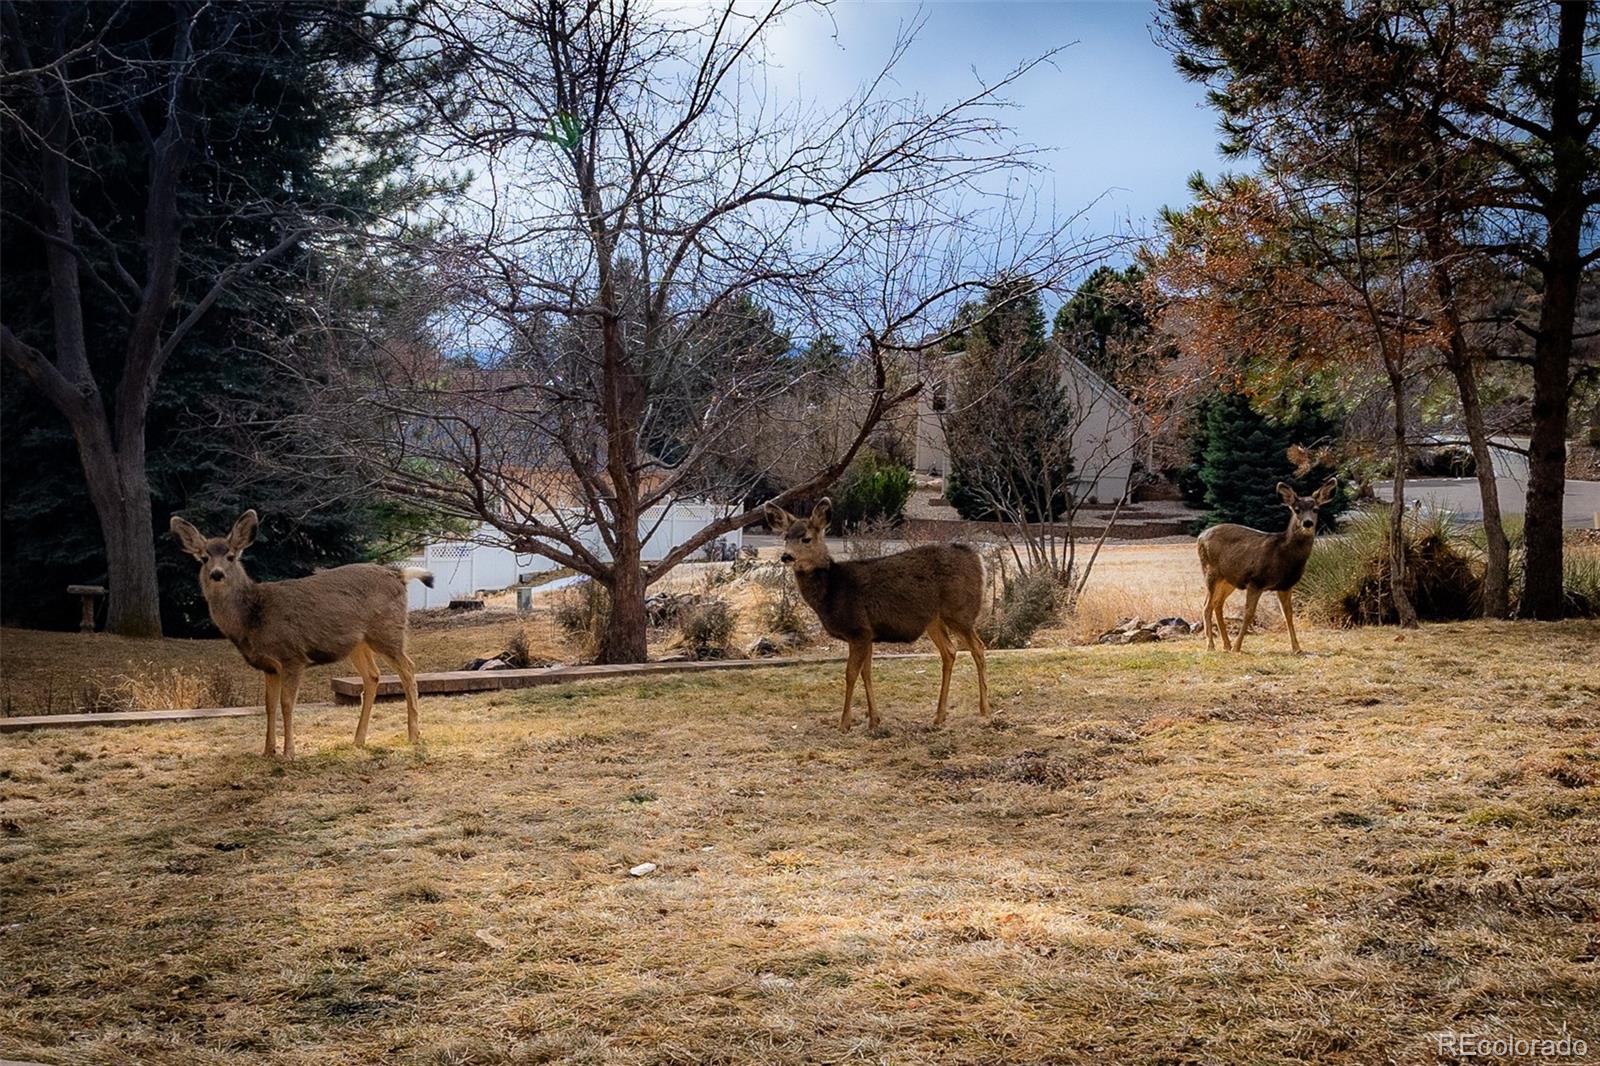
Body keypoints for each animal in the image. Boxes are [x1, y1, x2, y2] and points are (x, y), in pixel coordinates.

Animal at [170, 505, 432, 755]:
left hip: (387, 631)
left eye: (231, 556)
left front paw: (289, 752)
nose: (217, 573)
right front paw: (267, 751)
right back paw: (358, 739)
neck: (253, 617)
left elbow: (286, 703)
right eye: (204, 558)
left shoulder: (292, 655)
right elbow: (269, 705)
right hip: (358, 644)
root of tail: (399, 574)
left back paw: (414, 735)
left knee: (408, 669)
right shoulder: (269, 666)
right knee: (373, 676)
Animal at [761, 492, 985, 726]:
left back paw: (984, 710)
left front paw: (844, 723)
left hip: (960, 611)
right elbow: (866, 673)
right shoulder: (868, 633)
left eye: (806, 538)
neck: (833, 590)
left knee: (978, 648)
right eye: (786, 537)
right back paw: (939, 716)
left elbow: (850, 673)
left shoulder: (858, 629)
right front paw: (874, 719)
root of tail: (978, 559)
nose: (786, 556)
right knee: (949, 652)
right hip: (935, 620)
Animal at [1203, 476, 1337, 653]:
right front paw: (1238, 647)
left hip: (1229, 579)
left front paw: (1297, 648)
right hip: (1210, 571)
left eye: (1315, 509)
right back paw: (1211, 645)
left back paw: (1226, 644)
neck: (1282, 554)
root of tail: (1200, 536)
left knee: (1217, 604)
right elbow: (1249, 613)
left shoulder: (1285, 585)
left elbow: (1288, 614)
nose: (1307, 523)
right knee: (1207, 606)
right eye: (1296, 509)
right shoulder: (1255, 580)